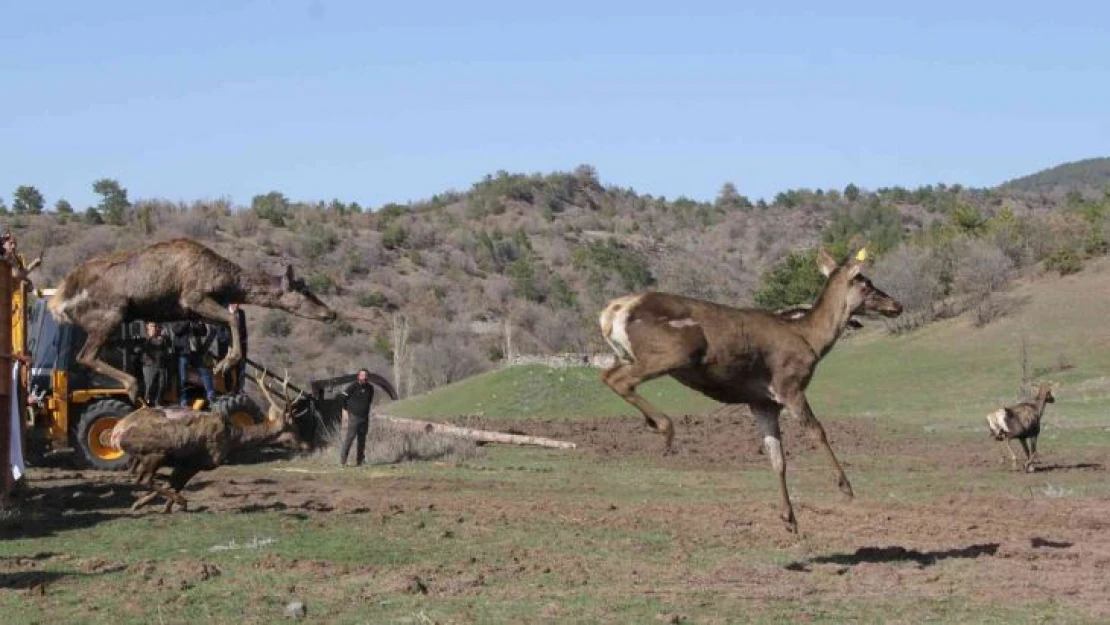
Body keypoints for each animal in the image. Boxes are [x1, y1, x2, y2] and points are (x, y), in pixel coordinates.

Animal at [45, 237, 337, 404]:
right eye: (303, 290)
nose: (330, 313)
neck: (227, 282)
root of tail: (59, 301)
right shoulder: (193, 298)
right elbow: (232, 318)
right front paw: (225, 363)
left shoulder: (192, 313)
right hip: (111, 315)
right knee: (85, 355)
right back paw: (133, 386)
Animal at [110, 370, 306, 512]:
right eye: (294, 427)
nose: (305, 445)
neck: (232, 437)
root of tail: (116, 433)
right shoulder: (200, 460)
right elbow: (176, 483)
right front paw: (170, 505)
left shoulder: (186, 463)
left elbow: (175, 483)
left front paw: (162, 507)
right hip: (156, 453)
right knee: (144, 479)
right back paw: (180, 501)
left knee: (139, 477)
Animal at [599, 244, 901, 532]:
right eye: (866, 284)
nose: (896, 304)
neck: (811, 341)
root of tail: (611, 313)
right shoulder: (788, 385)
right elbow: (817, 431)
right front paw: (846, 488)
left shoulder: (762, 402)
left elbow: (777, 457)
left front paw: (789, 518)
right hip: (677, 349)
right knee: (615, 378)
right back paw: (664, 427)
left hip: (637, 355)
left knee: (612, 375)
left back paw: (655, 423)